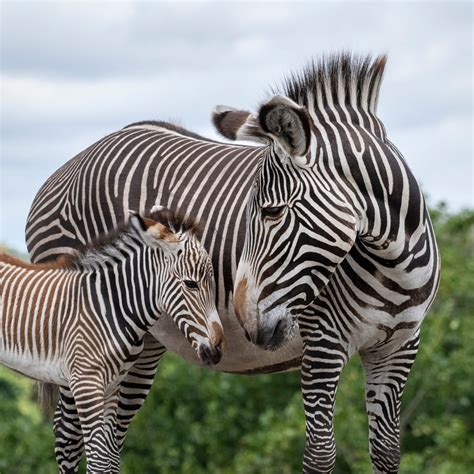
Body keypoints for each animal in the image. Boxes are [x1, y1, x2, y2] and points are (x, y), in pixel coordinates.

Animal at [0, 210, 224, 474]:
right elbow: (98, 459)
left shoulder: (112, 386)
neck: (112, 307)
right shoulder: (86, 382)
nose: (218, 349)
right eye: (191, 284)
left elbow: (107, 459)